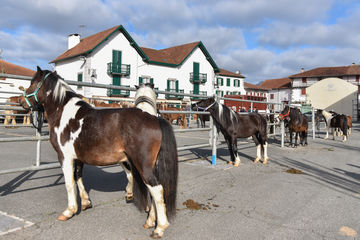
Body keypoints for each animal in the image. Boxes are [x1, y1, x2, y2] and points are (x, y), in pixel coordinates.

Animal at [20, 67, 178, 238]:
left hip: (143, 166)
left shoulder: (65, 157)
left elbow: (69, 183)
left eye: (32, 83)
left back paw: (159, 228)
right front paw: (85, 203)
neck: (64, 113)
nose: (21, 102)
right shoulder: (78, 158)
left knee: (157, 190)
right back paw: (150, 222)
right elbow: (78, 178)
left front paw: (69, 211)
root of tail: (154, 118)